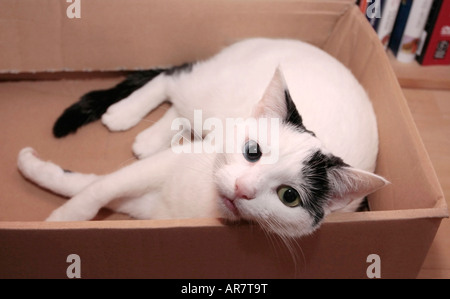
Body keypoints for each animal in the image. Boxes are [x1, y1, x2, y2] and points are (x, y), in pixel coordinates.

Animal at [17, 38, 388, 239]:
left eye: (289, 196)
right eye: (252, 151)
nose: (242, 189)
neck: (204, 201)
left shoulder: (147, 207)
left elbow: (90, 183)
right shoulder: (164, 167)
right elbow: (97, 188)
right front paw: (62, 219)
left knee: (180, 108)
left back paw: (148, 137)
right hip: (213, 90)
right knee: (172, 78)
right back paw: (124, 113)